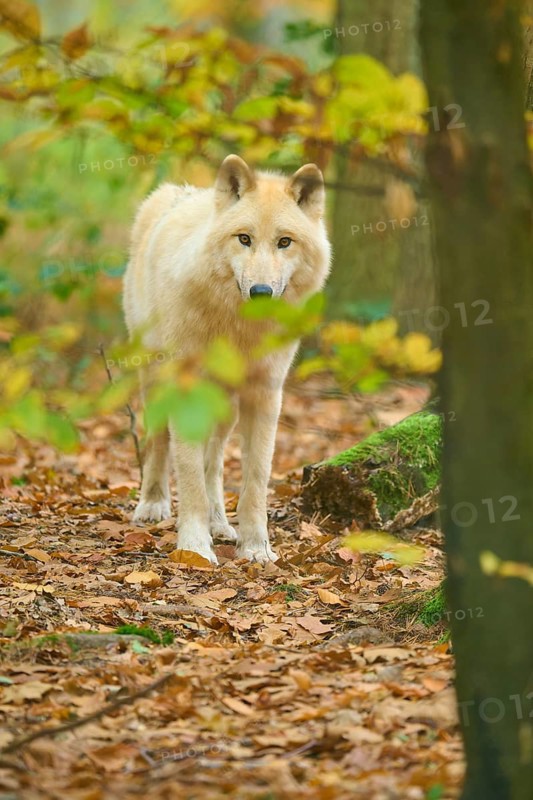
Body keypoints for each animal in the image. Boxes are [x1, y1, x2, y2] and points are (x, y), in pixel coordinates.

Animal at [123, 155, 331, 564]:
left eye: (284, 242)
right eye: (244, 238)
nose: (261, 291)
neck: (238, 331)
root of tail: (175, 191)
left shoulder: (266, 396)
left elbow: (255, 481)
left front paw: (255, 547)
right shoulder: (185, 390)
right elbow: (188, 476)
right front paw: (194, 547)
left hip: (225, 406)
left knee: (215, 461)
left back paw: (219, 523)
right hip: (155, 382)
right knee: (158, 444)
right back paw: (153, 505)